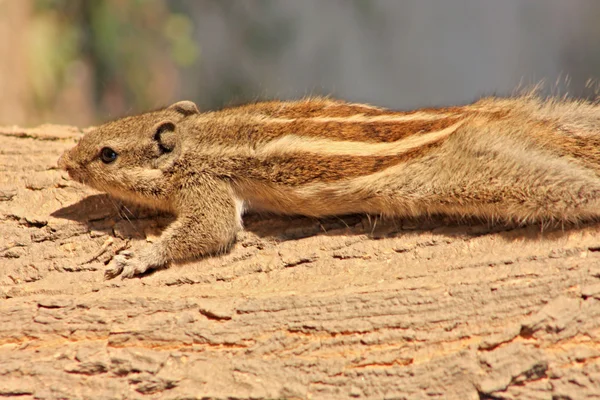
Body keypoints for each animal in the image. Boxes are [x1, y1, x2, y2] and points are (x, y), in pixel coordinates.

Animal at [57, 96, 600, 278]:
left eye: (107, 154)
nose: (62, 160)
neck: (199, 137)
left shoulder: (206, 188)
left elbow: (212, 229)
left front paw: (139, 256)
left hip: (491, 176)